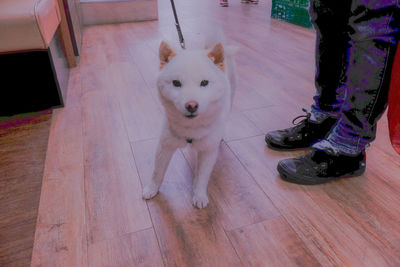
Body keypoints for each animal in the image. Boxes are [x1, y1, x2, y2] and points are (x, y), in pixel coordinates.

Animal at [142, 36, 238, 209]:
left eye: (204, 83)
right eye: (176, 83)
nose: (191, 105)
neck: (191, 129)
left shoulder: (208, 151)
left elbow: (202, 177)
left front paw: (199, 195)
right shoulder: (165, 145)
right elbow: (157, 171)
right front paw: (152, 188)